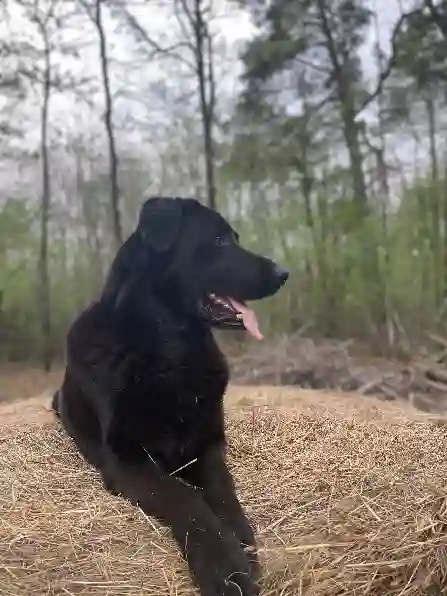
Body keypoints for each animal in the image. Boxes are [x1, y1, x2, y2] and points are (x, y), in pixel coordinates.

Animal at [53, 198, 290, 596]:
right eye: (219, 239)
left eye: (234, 237)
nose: (283, 272)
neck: (169, 353)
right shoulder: (126, 459)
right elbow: (185, 496)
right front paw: (223, 565)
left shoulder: (208, 445)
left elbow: (223, 493)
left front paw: (241, 543)